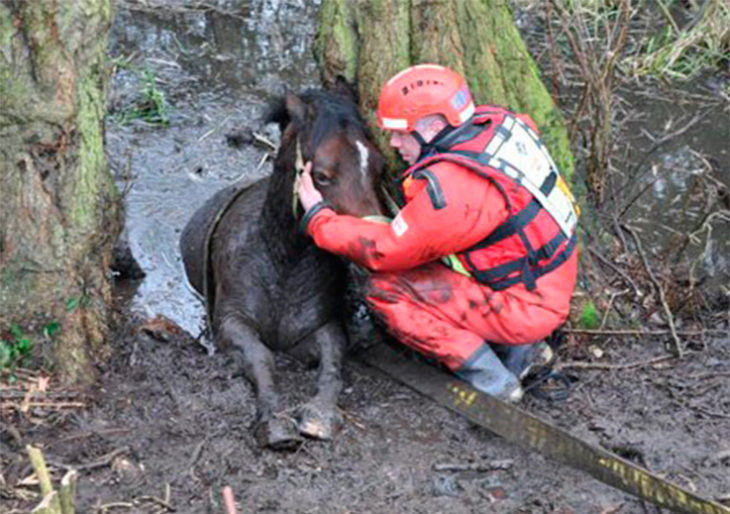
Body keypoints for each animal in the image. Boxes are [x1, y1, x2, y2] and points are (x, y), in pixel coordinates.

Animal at [180, 82, 384, 446]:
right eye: (322, 175)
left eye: (378, 166)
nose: (372, 247)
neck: (283, 262)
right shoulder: (232, 324)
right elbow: (262, 359)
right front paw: (273, 422)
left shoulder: (321, 328)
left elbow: (333, 361)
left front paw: (319, 415)